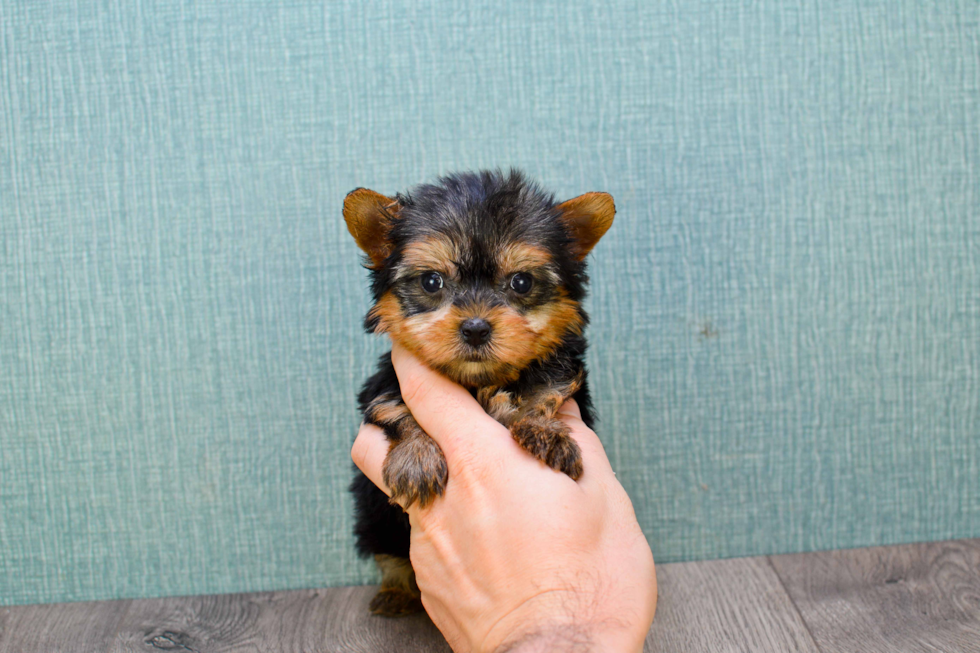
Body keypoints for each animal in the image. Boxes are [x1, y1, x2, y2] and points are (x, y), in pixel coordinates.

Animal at [346, 169, 612, 616]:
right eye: (431, 281)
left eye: (521, 281)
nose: (474, 327)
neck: (477, 380)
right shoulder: (384, 383)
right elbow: (394, 408)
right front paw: (417, 458)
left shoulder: (561, 369)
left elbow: (547, 387)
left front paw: (541, 429)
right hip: (376, 522)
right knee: (389, 553)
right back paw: (396, 590)